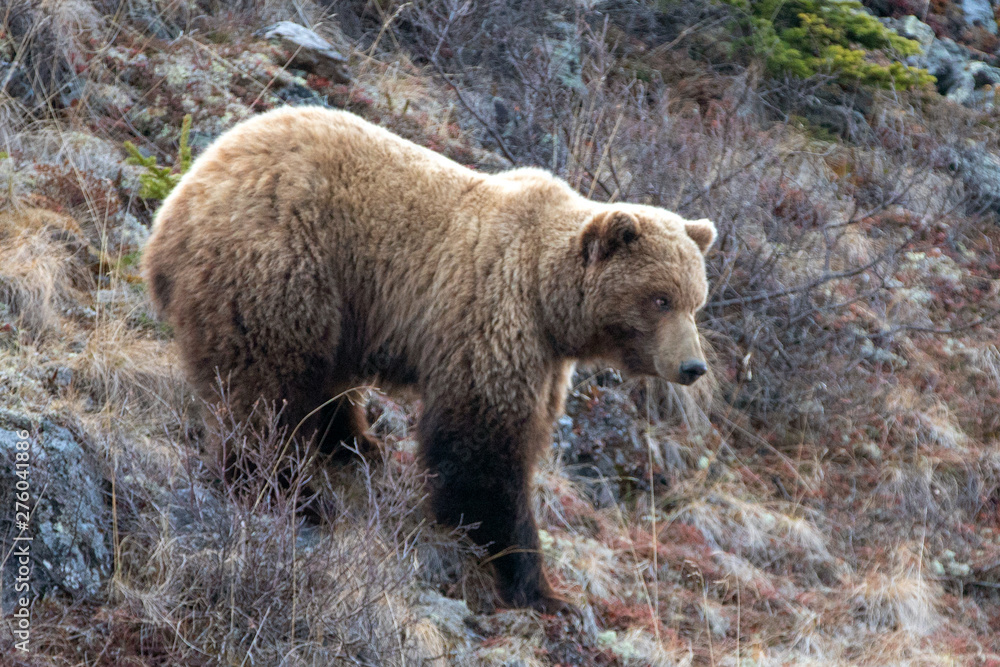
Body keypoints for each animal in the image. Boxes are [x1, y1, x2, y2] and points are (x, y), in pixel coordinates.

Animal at [141, 106, 716, 613]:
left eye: (695, 300)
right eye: (659, 299)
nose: (693, 367)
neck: (547, 300)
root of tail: (181, 195)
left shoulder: (545, 355)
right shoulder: (493, 315)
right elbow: (483, 446)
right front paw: (538, 584)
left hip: (340, 300)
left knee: (318, 379)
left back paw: (355, 443)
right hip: (283, 260)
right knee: (264, 388)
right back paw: (290, 491)